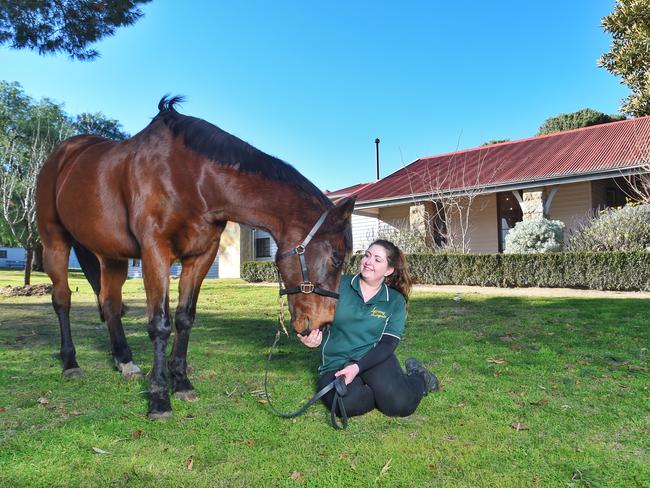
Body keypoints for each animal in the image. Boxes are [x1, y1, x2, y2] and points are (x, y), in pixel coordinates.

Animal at [36, 96, 352, 420]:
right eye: (336, 259)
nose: (323, 324)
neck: (192, 177)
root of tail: (63, 155)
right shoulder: (155, 252)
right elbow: (160, 323)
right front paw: (159, 398)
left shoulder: (201, 255)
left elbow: (185, 317)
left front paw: (181, 383)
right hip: (54, 243)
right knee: (62, 300)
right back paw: (71, 364)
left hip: (111, 256)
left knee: (110, 304)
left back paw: (125, 361)